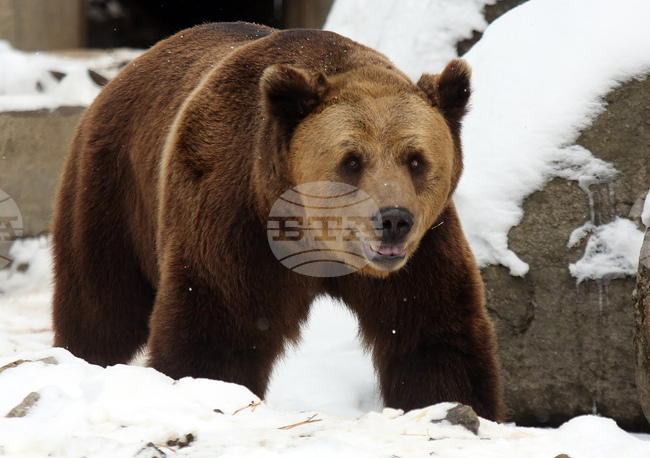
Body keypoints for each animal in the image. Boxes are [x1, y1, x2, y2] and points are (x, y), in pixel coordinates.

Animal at [51, 22, 505, 421]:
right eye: (351, 161)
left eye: (415, 159)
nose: (393, 220)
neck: (315, 241)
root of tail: (127, 70)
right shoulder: (235, 218)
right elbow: (218, 327)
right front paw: (209, 388)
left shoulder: (424, 251)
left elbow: (432, 332)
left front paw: (448, 402)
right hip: (113, 189)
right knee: (101, 304)